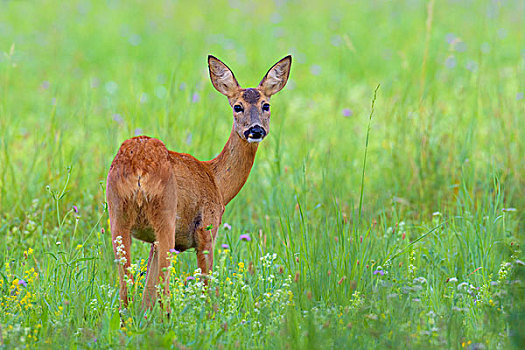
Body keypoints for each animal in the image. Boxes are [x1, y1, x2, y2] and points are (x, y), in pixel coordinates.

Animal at [105, 54, 290, 308]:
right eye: (237, 106)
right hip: (166, 216)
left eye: (266, 105)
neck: (217, 183)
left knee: (127, 290)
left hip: (117, 215)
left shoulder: (153, 243)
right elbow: (207, 286)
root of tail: (138, 170)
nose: (255, 130)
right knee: (164, 290)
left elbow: (147, 293)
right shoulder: (206, 228)